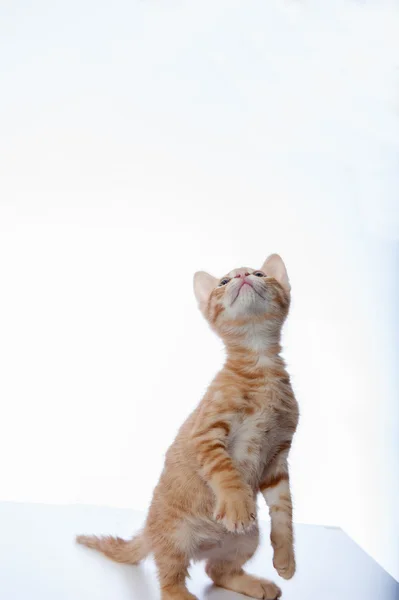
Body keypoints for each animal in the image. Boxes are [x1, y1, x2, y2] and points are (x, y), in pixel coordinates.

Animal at [76, 254, 298, 600]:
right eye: (224, 282)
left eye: (260, 274)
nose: (242, 276)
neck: (259, 363)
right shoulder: (205, 434)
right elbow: (225, 471)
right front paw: (237, 505)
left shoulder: (278, 456)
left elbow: (284, 510)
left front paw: (286, 557)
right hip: (177, 537)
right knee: (170, 575)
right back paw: (181, 593)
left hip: (247, 539)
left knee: (216, 571)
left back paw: (255, 583)